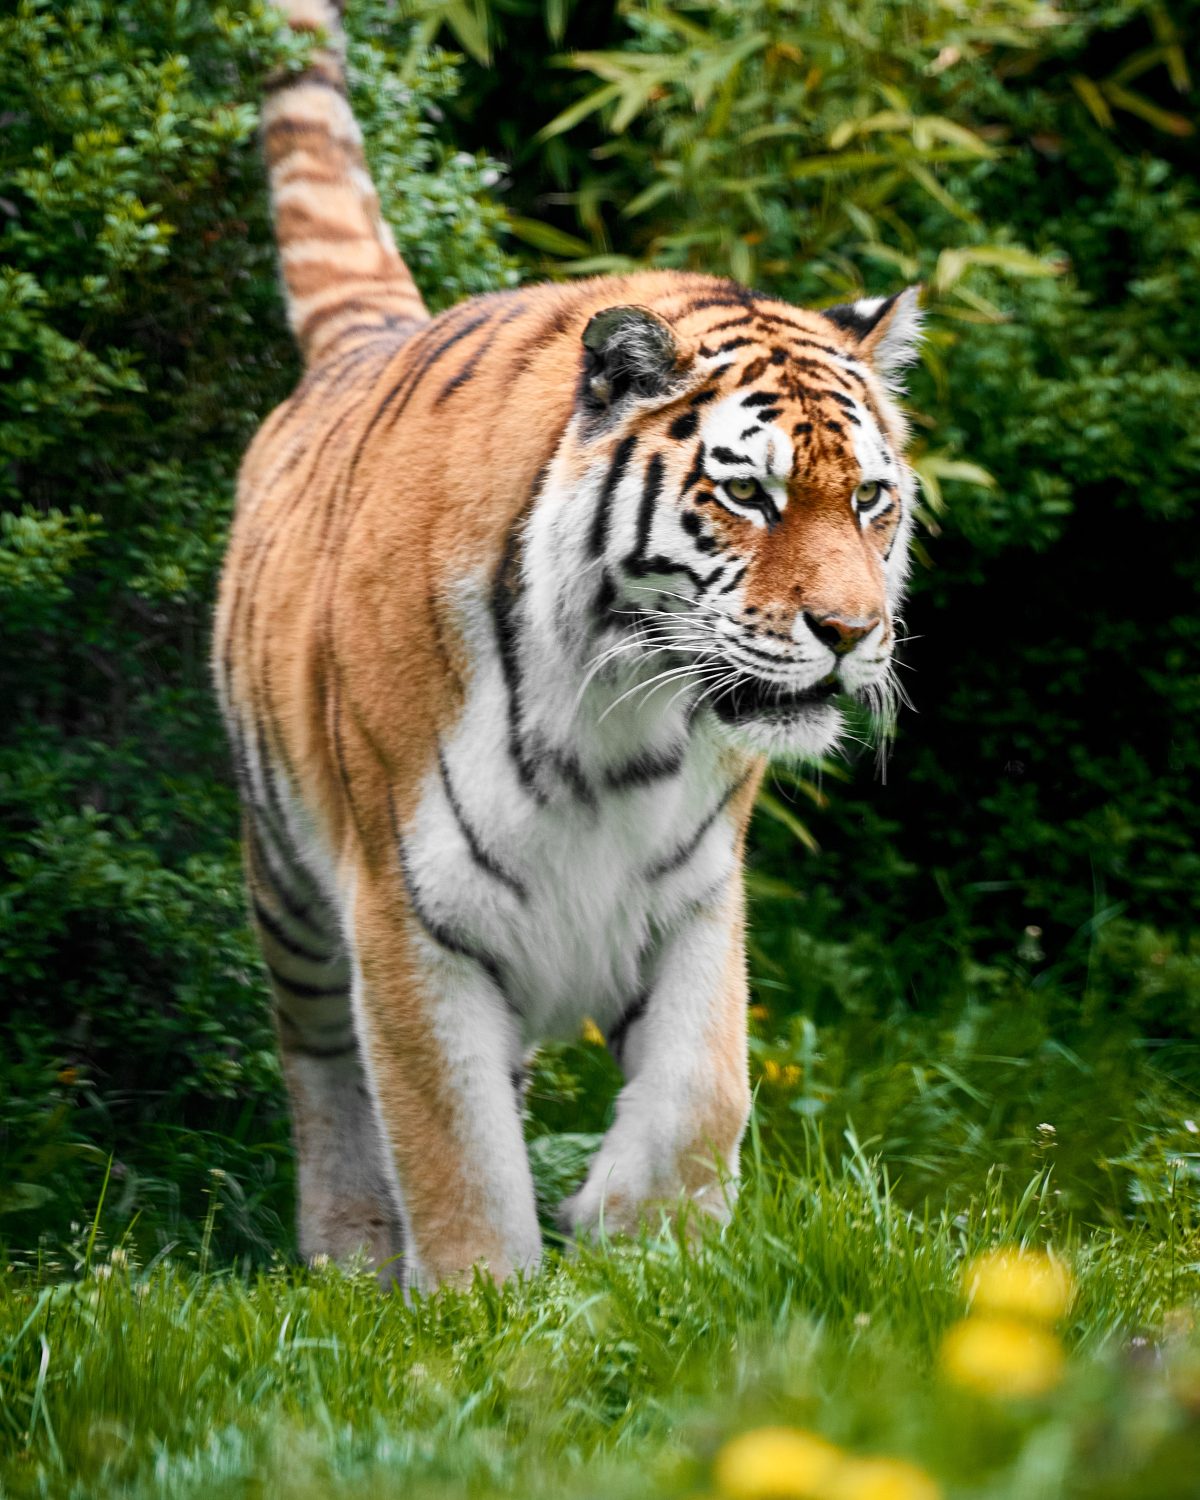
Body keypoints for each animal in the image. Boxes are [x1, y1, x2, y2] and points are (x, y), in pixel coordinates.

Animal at [213, 0, 923, 1292]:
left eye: (869, 501)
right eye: (749, 493)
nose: (851, 633)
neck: (622, 715)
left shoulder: (695, 892)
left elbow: (703, 1088)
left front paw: (648, 1248)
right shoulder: (406, 911)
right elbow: (453, 1148)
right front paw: (478, 1304)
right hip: (288, 886)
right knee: (320, 1068)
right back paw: (348, 1255)